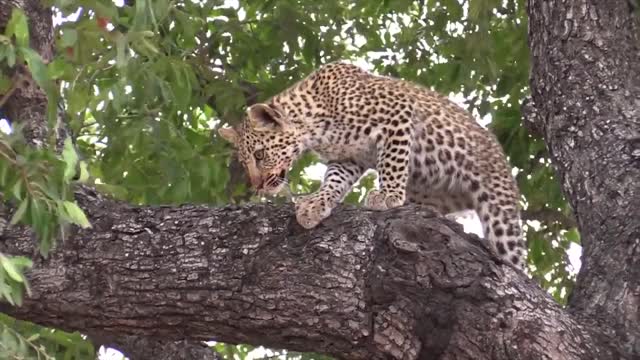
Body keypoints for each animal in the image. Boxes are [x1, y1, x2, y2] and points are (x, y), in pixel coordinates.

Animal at [218, 62, 528, 270]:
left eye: (260, 155)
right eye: (246, 162)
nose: (257, 186)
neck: (313, 124)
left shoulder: (398, 114)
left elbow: (393, 160)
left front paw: (387, 196)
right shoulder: (348, 158)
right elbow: (333, 181)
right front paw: (315, 205)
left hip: (499, 209)